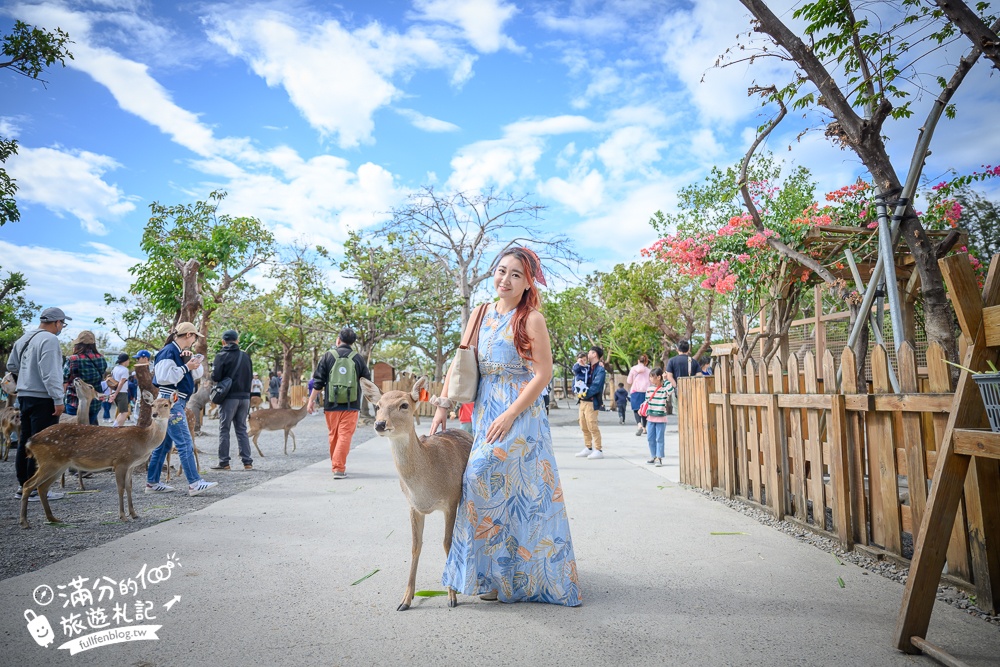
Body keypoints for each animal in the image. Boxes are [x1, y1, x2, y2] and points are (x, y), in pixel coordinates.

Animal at [18, 394, 172, 528]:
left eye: (166, 404)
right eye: (152, 405)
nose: (155, 414)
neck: (144, 441)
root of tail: (30, 441)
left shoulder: (131, 466)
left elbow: (129, 487)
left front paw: (134, 514)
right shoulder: (120, 461)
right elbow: (120, 488)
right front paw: (123, 516)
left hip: (57, 465)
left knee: (42, 487)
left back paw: (52, 518)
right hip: (49, 462)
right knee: (28, 484)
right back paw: (24, 522)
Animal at [360, 376, 472, 612]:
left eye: (404, 405)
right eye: (378, 406)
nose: (380, 424)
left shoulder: (451, 501)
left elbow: (447, 543)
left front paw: (452, 596)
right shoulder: (413, 507)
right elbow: (415, 546)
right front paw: (406, 599)